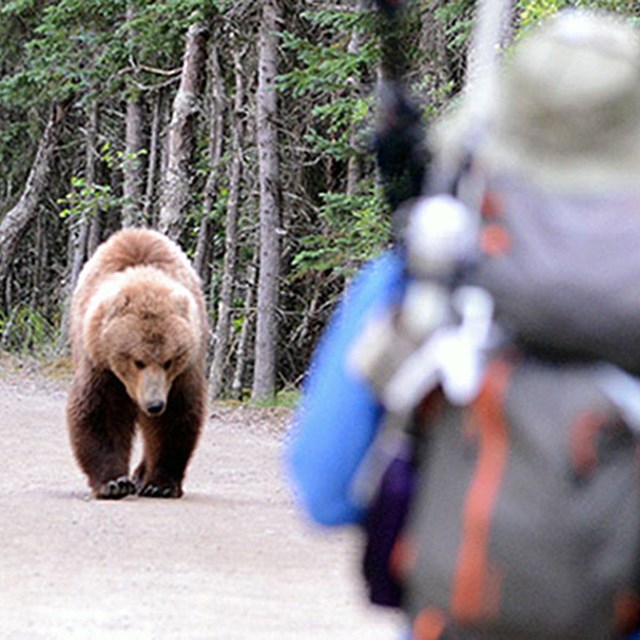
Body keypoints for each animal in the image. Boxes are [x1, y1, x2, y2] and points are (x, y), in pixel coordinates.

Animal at [67, 229, 208, 500]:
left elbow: (174, 417)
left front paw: (159, 484)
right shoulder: (100, 363)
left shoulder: (182, 373)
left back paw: (142, 475)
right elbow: (101, 412)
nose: (154, 404)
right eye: (138, 361)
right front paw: (114, 483)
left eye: (169, 360)